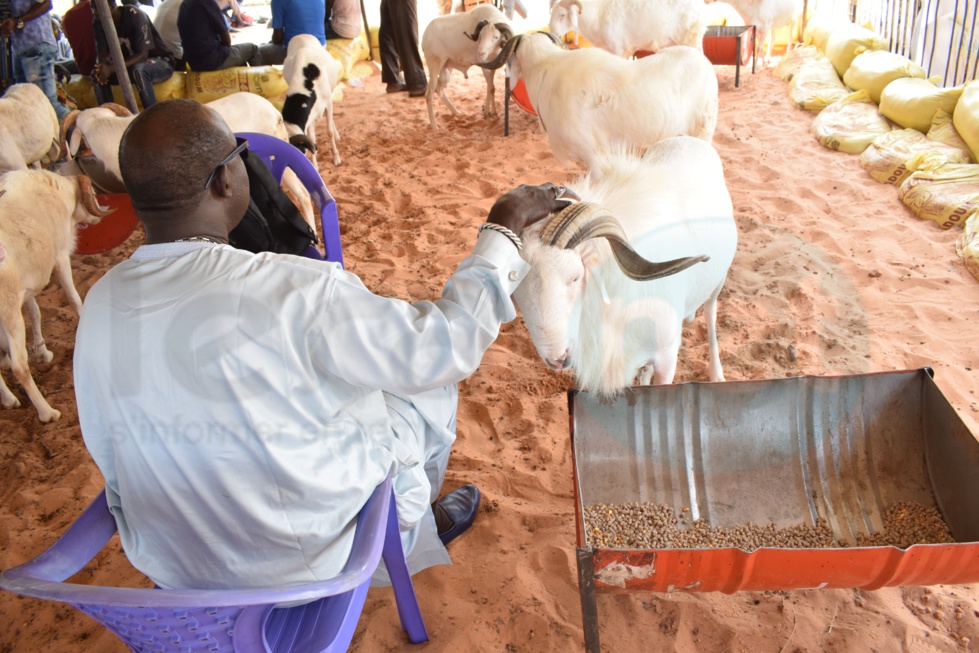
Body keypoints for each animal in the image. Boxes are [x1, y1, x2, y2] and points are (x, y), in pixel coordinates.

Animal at [0, 171, 112, 420]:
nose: (100, 213)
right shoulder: (60, 257)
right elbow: (74, 299)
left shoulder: (27, 286)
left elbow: (35, 312)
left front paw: (43, 354)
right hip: (9, 312)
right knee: (19, 367)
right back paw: (47, 413)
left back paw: (10, 400)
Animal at [282, 35, 342, 168]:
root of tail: (300, 35)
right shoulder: (310, 116)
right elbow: (312, 139)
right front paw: (315, 166)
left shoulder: (328, 103)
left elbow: (329, 131)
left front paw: (336, 157)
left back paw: (337, 135)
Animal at [512, 135, 736, 394]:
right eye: (514, 291)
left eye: (575, 277)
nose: (557, 358)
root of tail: (687, 138)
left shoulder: (667, 358)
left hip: (718, 281)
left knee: (710, 312)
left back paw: (716, 373)